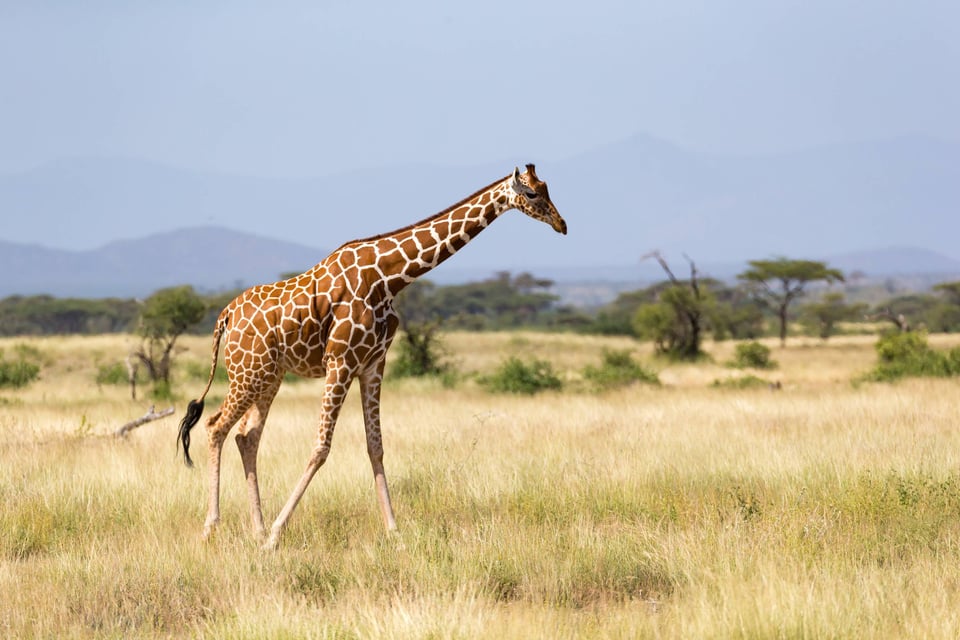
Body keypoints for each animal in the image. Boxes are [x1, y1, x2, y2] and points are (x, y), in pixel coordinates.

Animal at [177, 164, 566, 549]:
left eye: (547, 188)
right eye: (532, 193)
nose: (561, 224)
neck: (390, 277)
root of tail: (225, 316)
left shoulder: (373, 364)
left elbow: (375, 446)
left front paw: (394, 531)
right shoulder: (340, 361)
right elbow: (321, 447)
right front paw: (276, 534)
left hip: (269, 376)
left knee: (247, 437)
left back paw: (255, 529)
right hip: (247, 372)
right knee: (215, 427)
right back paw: (213, 528)